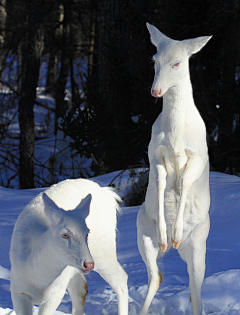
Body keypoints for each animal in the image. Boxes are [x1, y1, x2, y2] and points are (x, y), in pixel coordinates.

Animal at [10, 179, 128, 314]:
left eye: (87, 233)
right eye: (65, 234)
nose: (88, 264)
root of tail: (109, 195)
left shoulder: (56, 292)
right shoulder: (17, 289)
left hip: (103, 251)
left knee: (121, 279)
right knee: (81, 288)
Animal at [137, 22, 212, 315]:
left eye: (177, 63)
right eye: (155, 60)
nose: (155, 91)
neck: (175, 136)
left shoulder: (198, 156)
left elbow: (185, 182)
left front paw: (176, 231)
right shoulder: (153, 153)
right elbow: (160, 181)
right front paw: (165, 233)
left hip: (199, 242)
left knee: (196, 288)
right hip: (140, 232)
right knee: (156, 275)